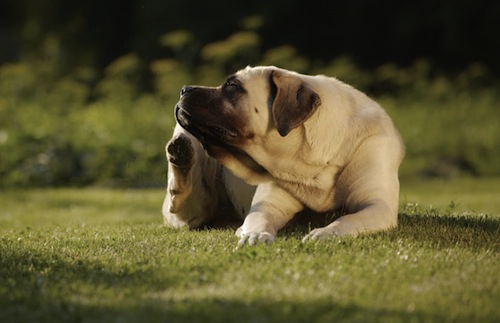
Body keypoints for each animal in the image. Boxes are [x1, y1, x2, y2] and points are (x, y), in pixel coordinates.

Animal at [162, 66, 404, 248]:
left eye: (232, 86)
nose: (184, 88)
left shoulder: (378, 206)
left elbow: (346, 219)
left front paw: (325, 233)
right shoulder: (268, 206)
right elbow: (258, 219)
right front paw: (254, 235)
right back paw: (181, 152)